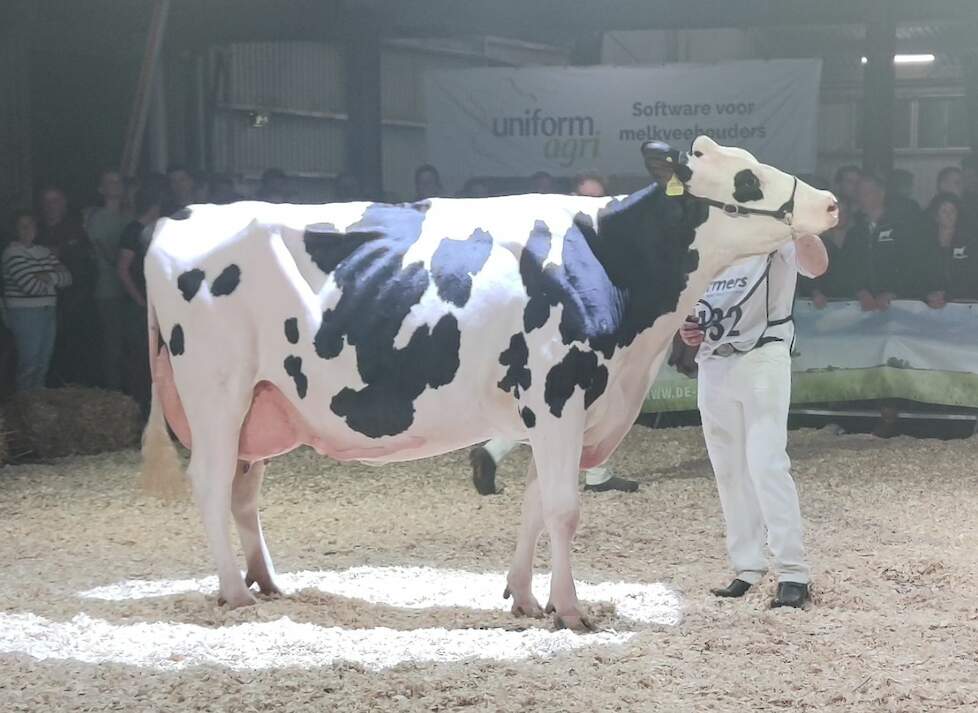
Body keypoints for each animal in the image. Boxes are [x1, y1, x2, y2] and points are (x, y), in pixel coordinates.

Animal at [141, 136, 836, 624]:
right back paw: (234, 593)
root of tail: (179, 217)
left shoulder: (558, 409)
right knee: (209, 482)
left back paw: (266, 581)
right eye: (747, 178)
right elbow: (562, 508)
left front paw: (526, 598)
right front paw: (571, 609)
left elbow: (533, 504)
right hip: (216, 391)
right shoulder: (559, 397)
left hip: (261, 404)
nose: (829, 202)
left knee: (243, 490)